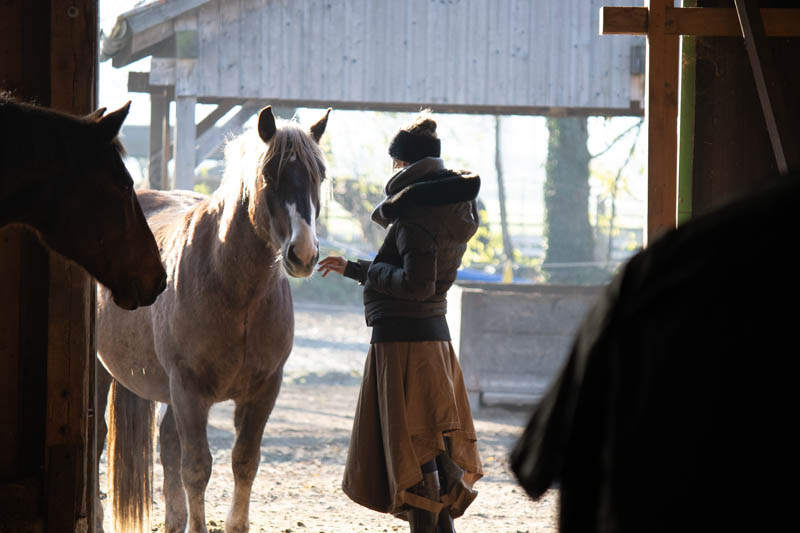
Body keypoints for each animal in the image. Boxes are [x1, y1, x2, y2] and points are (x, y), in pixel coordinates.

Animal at [97, 105, 332, 532]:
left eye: (318, 175)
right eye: (268, 176)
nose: (303, 253)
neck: (236, 291)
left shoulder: (263, 392)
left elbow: (244, 461)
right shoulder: (190, 390)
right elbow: (197, 468)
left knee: (167, 443)